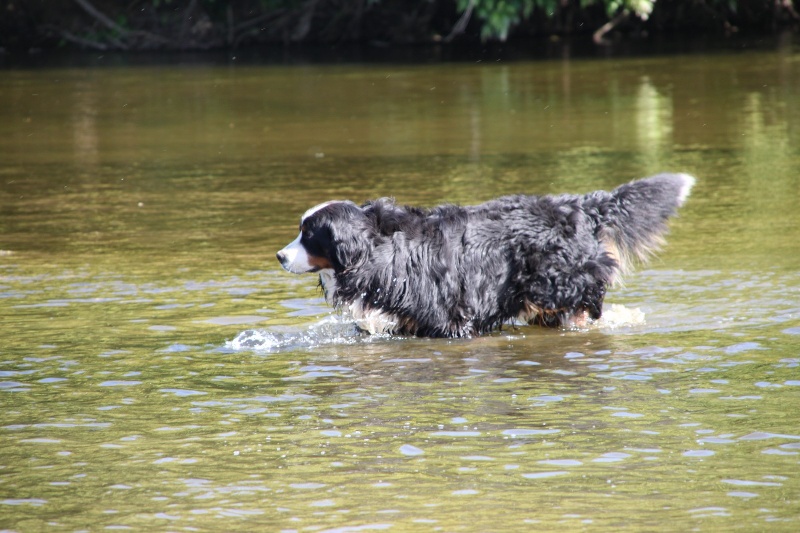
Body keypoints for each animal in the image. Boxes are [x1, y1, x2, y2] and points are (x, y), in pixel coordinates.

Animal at [276, 172, 692, 336]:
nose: (279, 255)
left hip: (558, 285)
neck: (379, 252)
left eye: (308, 235)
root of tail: (580, 206)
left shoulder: (450, 318)